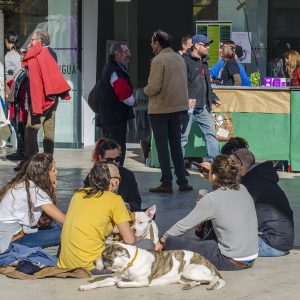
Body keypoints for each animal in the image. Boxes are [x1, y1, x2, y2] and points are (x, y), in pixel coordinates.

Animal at [79, 244, 225, 290]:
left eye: (104, 256)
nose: (93, 263)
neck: (128, 265)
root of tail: (207, 260)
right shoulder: (113, 278)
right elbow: (100, 282)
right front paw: (86, 286)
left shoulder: (143, 282)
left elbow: (121, 283)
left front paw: (122, 283)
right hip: (184, 277)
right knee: (199, 281)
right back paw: (189, 285)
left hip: (190, 271)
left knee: (215, 278)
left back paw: (212, 285)